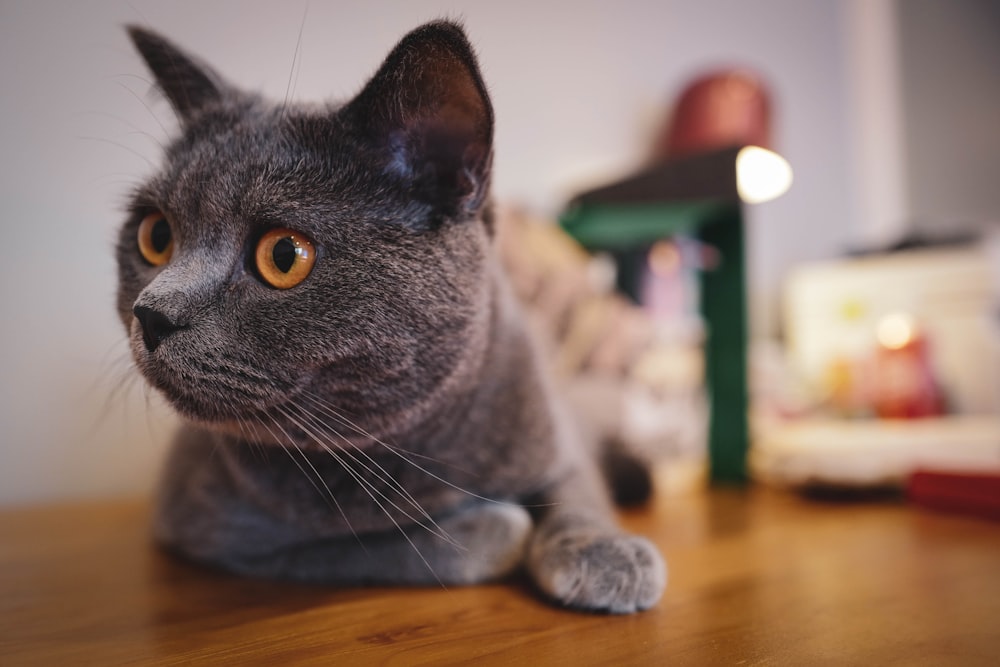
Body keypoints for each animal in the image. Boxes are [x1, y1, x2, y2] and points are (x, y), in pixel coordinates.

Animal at [119, 19, 664, 616]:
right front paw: (494, 527)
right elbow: (373, 546)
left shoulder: (553, 433)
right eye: (155, 236)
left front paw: (606, 552)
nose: (151, 314)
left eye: (283, 255)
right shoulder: (208, 526)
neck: (416, 450)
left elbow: (576, 489)